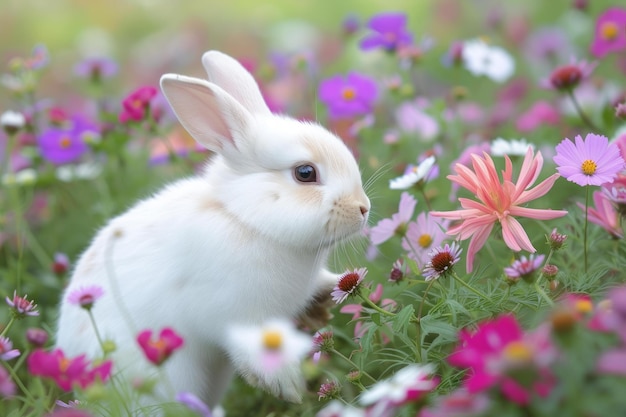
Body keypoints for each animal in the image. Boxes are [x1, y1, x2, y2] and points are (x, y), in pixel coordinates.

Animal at [56, 50, 368, 408]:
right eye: (305, 173)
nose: (364, 208)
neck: (244, 218)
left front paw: (328, 299)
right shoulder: (233, 314)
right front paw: (287, 385)